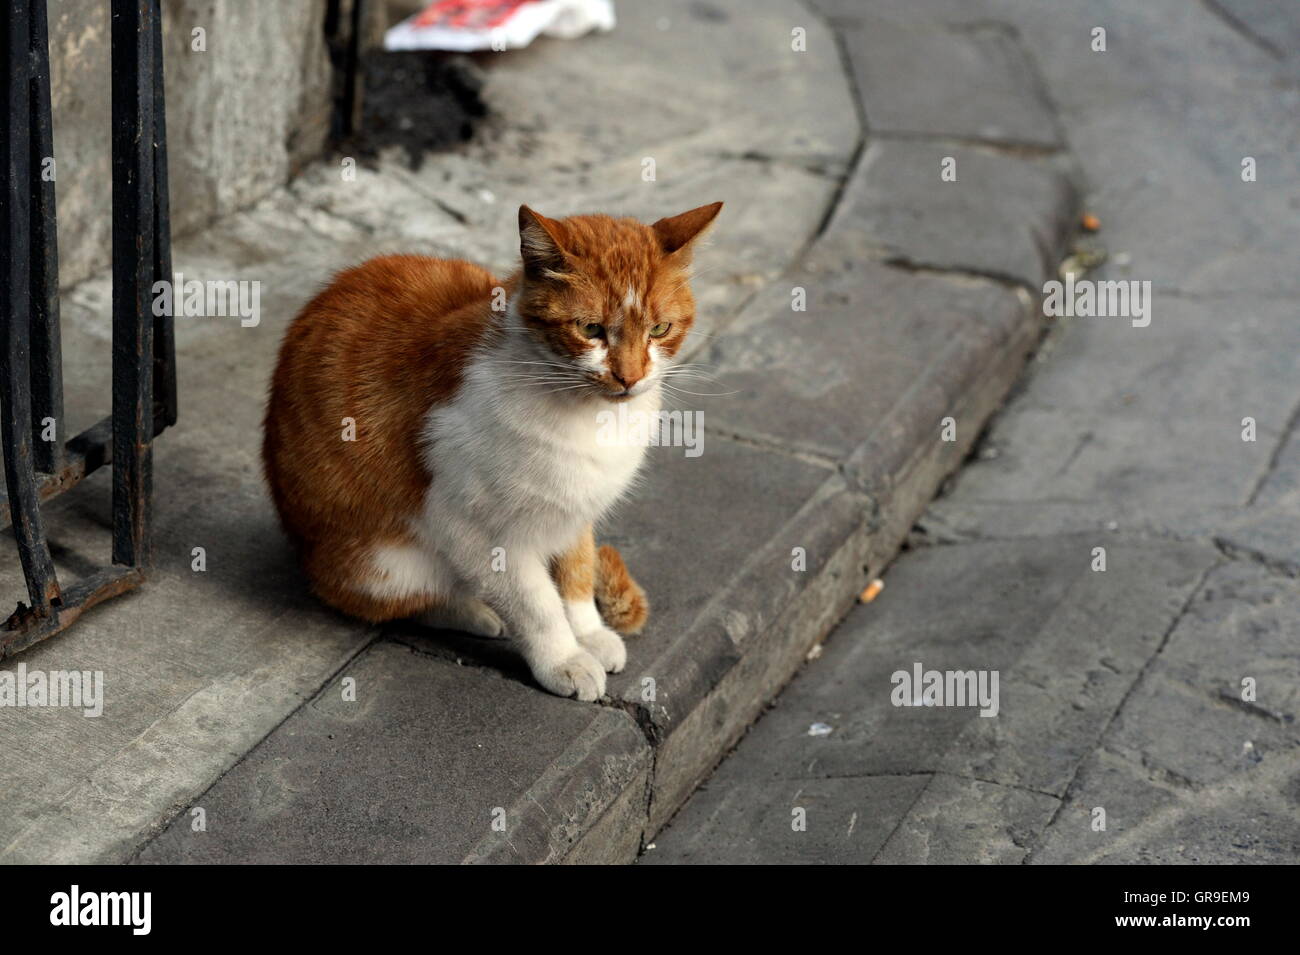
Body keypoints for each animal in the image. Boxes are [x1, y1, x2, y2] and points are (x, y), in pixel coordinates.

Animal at [262, 201, 722, 701]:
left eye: (659, 329)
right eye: (591, 329)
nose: (630, 377)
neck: (587, 416)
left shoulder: (575, 509)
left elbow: (577, 572)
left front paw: (589, 633)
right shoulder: (472, 527)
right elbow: (536, 603)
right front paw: (564, 659)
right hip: (384, 565)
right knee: (400, 601)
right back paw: (472, 611)